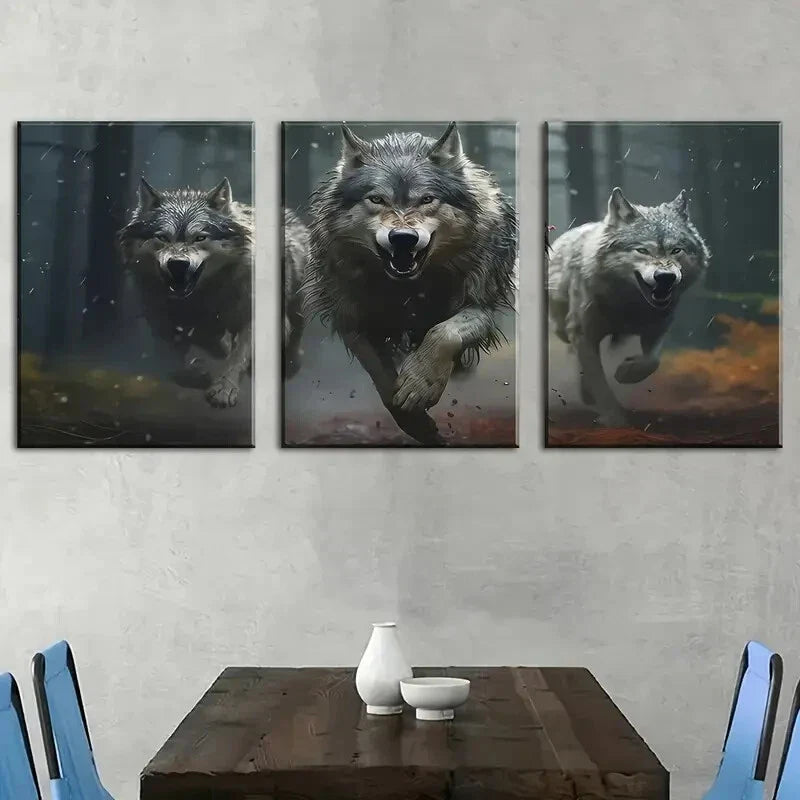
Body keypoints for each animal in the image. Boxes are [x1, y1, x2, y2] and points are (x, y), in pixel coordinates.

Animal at [118, 177, 253, 408]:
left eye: (200, 238)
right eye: (163, 237)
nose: (178, 264)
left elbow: (237, 356)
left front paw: (224, 387)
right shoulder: (158, 315)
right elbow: (174, 350)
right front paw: (190, 372)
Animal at [303, 122, 517, 445]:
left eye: (427, 199)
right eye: (377, 199)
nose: (403, 237)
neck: (410, 289)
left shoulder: (481, 305)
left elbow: (444, 333)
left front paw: (420, 384)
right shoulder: (354, 321)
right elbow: (383, 382)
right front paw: (417, 425)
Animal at [548, 187, 710, 425]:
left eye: (676, 250)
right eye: (642, 250)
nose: (665, 277)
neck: (628, 305)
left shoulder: (658, 328)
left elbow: (652, 361)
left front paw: (626, 372)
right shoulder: (583, 334)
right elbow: (600, 382)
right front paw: (614, 419)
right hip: (564, 328)